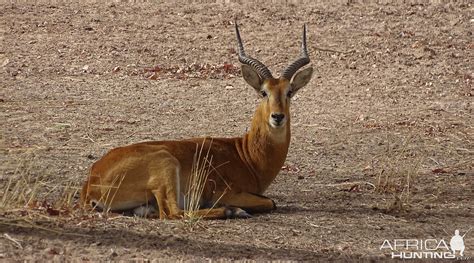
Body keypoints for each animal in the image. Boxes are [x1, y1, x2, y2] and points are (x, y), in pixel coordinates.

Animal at [80, 23, 312, 221]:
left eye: (289, 92)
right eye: (263, 92)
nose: (277, 116)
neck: (246, 155)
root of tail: (91, 183)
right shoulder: (226, 192)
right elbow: (270, 202)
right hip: (166, 166)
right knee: (173, 213)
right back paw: (232, 211)